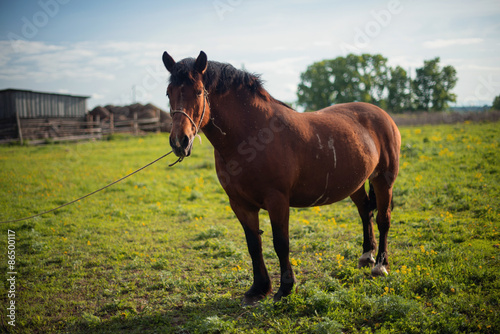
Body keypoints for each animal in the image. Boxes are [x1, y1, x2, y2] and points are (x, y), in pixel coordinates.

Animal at [164, 50, 402, 306]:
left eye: (199, 91)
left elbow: (281, 243)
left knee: (383, 219)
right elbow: (253, 245)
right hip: (355, 183)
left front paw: (285, 289)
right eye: (168, 93)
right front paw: (258, 288)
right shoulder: (240, 204)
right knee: (365, 212)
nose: (179, 141)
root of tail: (382, 114)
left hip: (384, 180)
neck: (252, 136)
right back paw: (367, 255)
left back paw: (380, 266)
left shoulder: (277, 200)